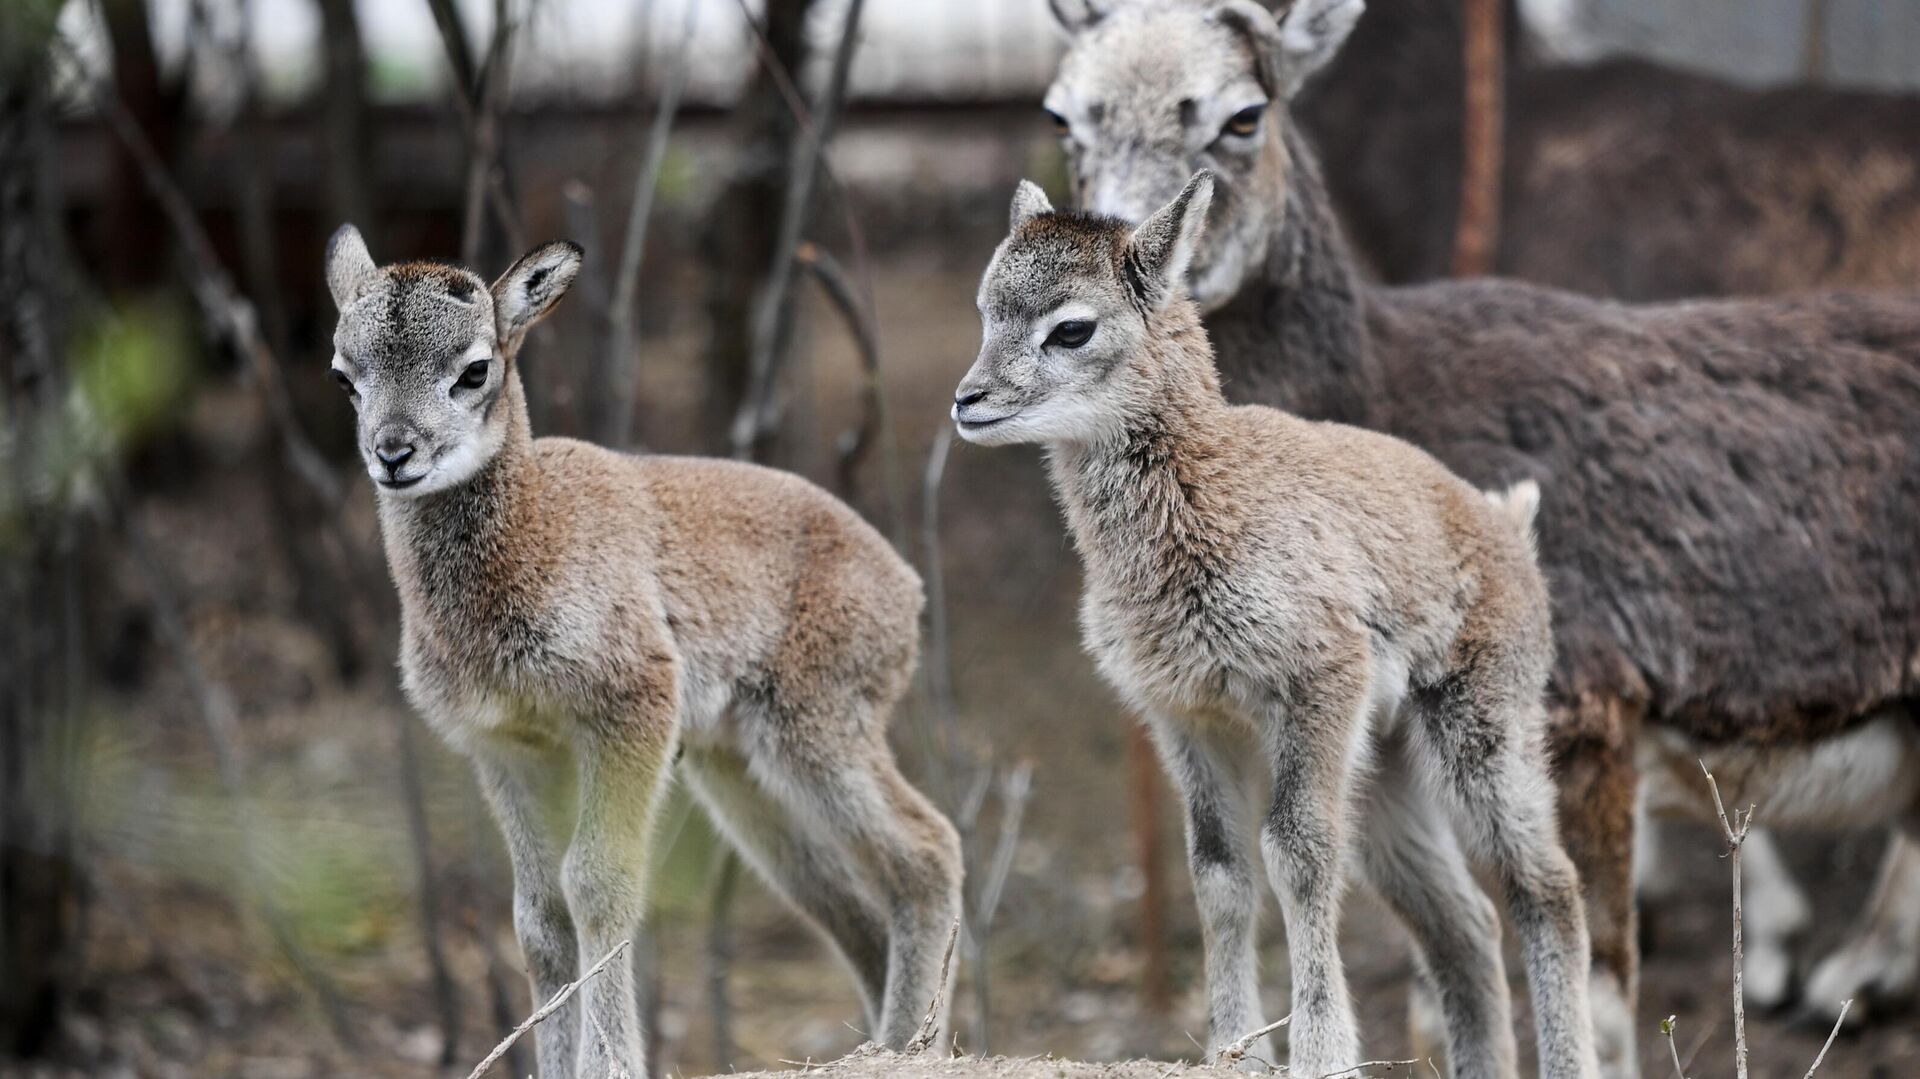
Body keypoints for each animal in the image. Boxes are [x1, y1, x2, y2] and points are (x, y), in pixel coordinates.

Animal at [326, 222, 975, 1067]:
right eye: (345, 376)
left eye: (474, 369)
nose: (394, 452)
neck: (535, 534)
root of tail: (907, 587)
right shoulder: (505, 749)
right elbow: (538, 916)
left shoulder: (629, 710)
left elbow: (598, 884)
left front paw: (611, 1063)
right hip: (738, 774)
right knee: (856, 908)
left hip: (816, 733)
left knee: (928, 852)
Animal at [960, 174, 1605, 1075]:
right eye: (986, 308)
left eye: (1072, 326)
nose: (969, 401)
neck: (1209, 500)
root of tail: (1507, 526)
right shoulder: (1187, 718)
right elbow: (1220, 869)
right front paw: (1232, 1046)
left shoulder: (1315, 686)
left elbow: (1295, 853)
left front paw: (1320, 1051)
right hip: (1387, 775)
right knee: (1462, 922)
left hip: (1485, 732)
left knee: (1545, 885)